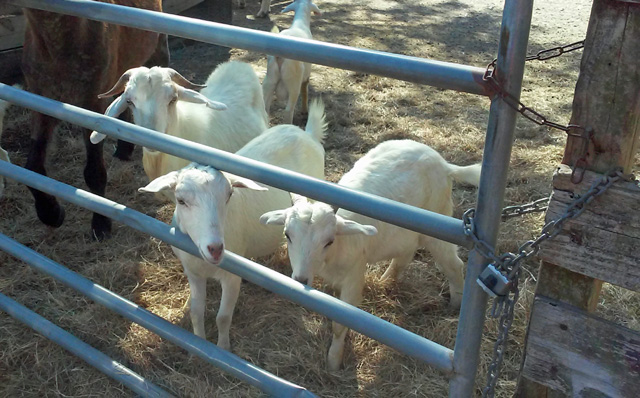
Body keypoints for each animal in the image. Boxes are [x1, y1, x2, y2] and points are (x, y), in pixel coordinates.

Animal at [138, 98, 328, 348]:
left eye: (229, 195)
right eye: (180, 200)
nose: (216, 248)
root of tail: (306, 133)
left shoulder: (231, 277)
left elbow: (223, 317)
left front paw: (222, 348)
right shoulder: (193, 272)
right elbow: (197, 312)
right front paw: (198, 344)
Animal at [260, 139, 480, 370]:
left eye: (329, 241)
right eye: (287, 234)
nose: (300, 279)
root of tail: (445, 164)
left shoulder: (354, 276)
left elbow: (339, 324)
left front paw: (333, 362)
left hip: (437, 221)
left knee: (453, 264)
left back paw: (456, 304)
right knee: (404, 255)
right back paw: (386, 280)